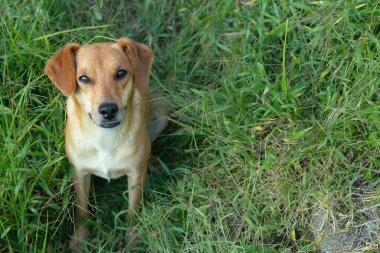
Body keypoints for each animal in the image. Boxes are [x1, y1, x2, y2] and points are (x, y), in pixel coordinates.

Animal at [44, 37, 168, 251]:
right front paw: (80, 241)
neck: (105, 137)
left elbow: (133, 212)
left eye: (121, 73)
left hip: (163, 112)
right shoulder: (80, 173)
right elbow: (81, 210)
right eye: (83, 78)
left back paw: (152, 161)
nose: (108, 110)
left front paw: (132, 242)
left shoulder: (135, 175)